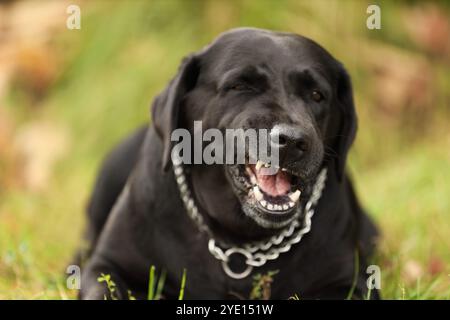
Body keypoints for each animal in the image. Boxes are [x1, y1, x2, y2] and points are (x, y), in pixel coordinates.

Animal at [78, 27, 380, 300]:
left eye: (317, 95)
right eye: (239, 86)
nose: (293, 141)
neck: (240, 242)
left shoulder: (348, 282)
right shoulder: (108, 266)